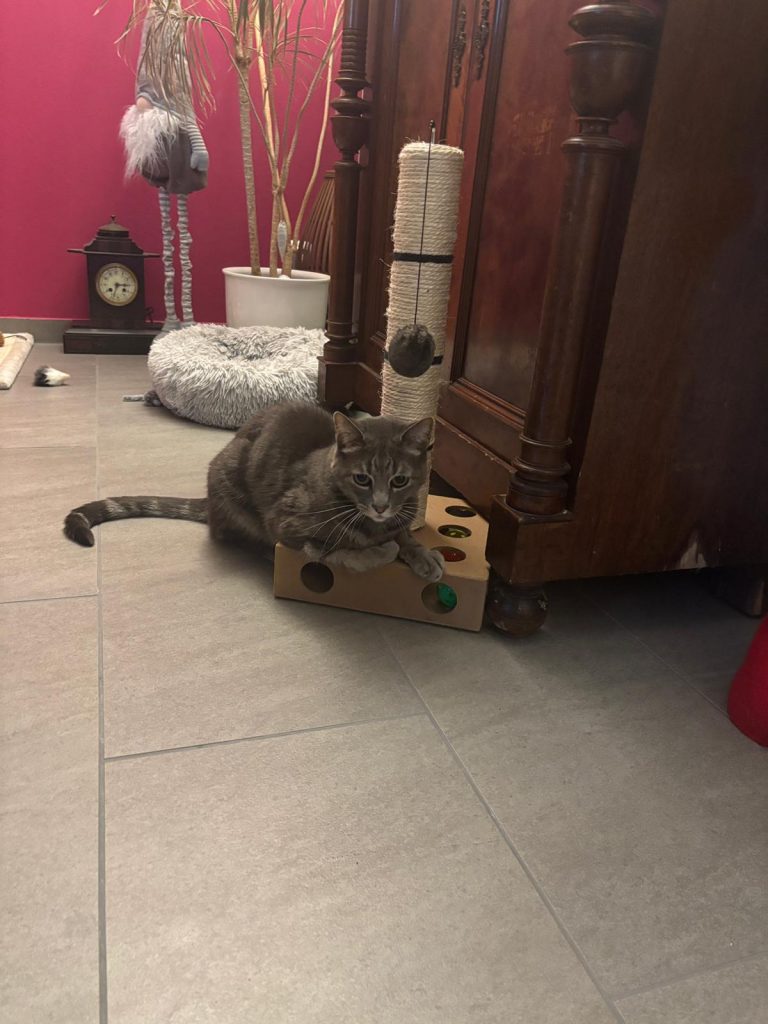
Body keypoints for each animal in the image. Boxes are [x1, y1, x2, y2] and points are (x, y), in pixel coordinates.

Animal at [64, 402, 445, 581]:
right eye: (362, 479)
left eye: (399, 481)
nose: (380, 506)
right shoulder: (286, 522)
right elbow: (335, 549)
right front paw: (378, 552)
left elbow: (405, 534)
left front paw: (423, 555)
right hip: (237, 499)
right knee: (237, 538)